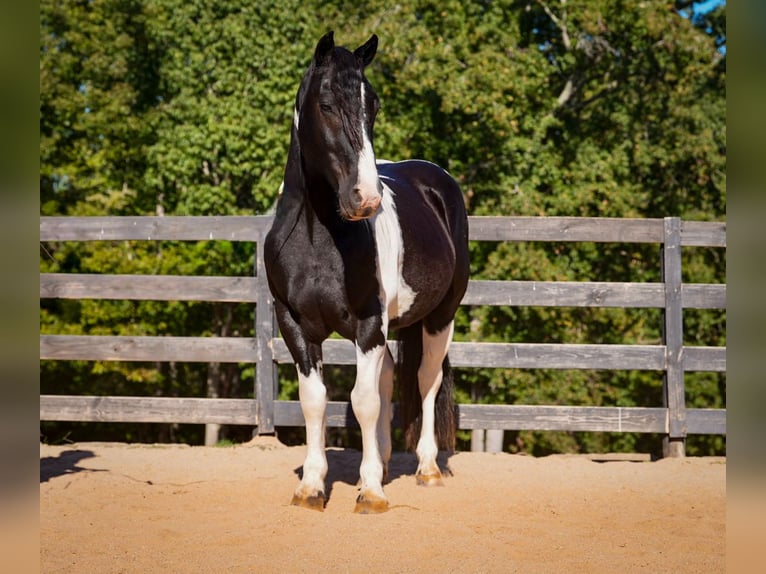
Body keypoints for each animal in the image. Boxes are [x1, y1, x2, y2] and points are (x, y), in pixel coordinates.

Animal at [264, 31, 469, 514]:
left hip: (440, 317)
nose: (367, 198)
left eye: (371, 105)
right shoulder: (294, 324)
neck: (319, 238)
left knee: (426, 381)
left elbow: (364, 401)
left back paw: (426, 468)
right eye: (326, 104)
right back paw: (384, 461)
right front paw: (312, 487)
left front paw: (371, 491)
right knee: (392, 375)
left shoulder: (368, 323)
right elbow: (316, 400)